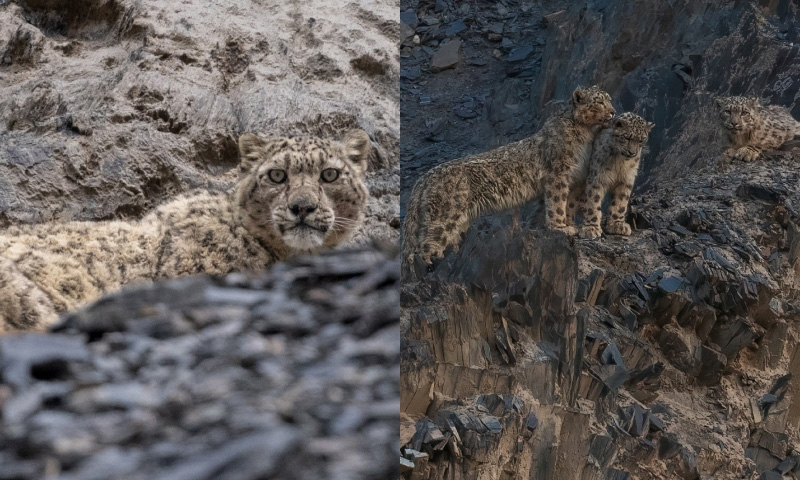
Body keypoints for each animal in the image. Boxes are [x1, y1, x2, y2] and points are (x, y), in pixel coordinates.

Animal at [402, 85, 615, 265]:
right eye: (598, 101)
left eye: (609, 99)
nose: (613, 112)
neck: (585, 137)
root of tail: (424, 177)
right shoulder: (558, 175)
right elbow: (556, 202)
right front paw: (560, 227)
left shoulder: (576, 179)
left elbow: (567, 204)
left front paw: (569, 224)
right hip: (445, 214)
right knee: (426, 243)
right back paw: (430, 263)